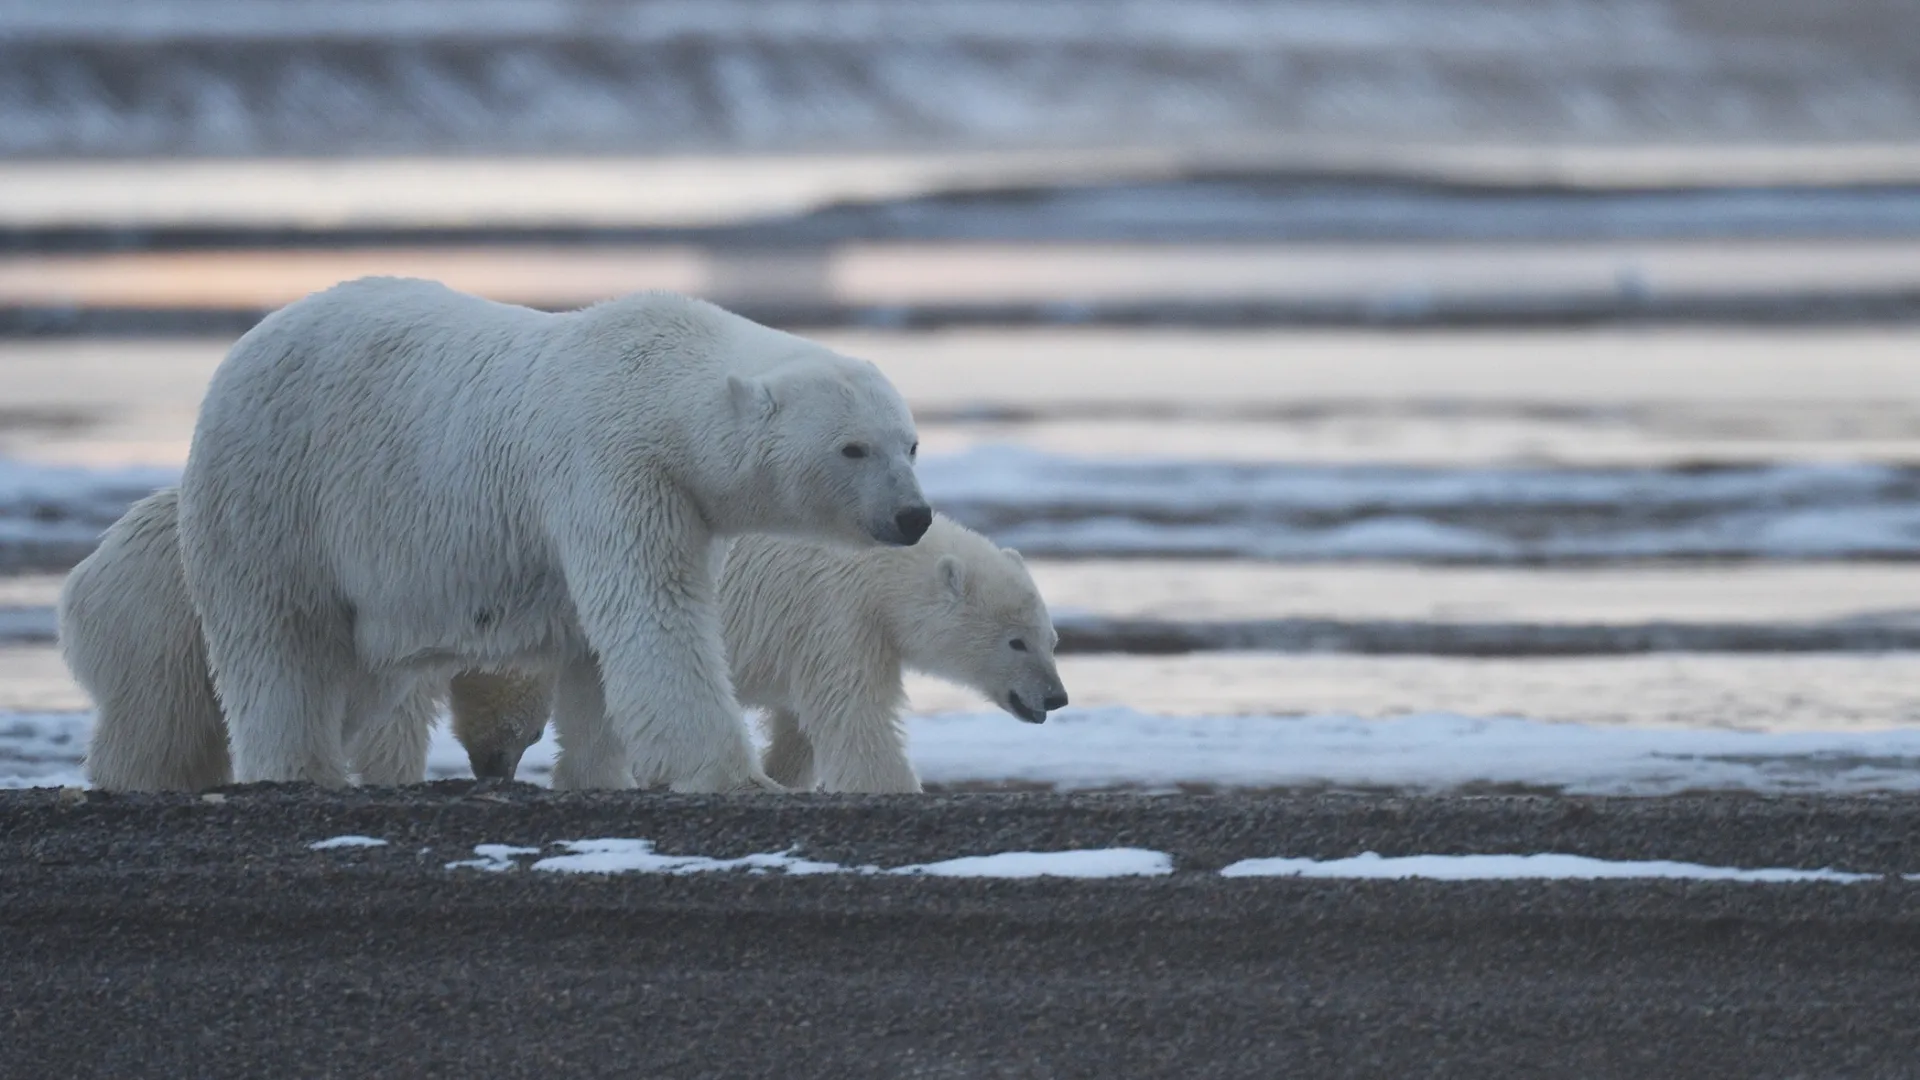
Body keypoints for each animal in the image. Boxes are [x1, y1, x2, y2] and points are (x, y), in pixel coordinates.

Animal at [172, 276, 929, 791]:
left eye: (911, 444)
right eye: (853, 449)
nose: (913, 515)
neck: (659, 383)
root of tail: (248, 342)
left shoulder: (679, 500)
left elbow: (599, 652)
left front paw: (600, 770)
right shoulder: (611, 466)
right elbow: (654, 614)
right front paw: (730, 774)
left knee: (359, 672)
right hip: (277, 489)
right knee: (280, 636)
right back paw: (299, 764)